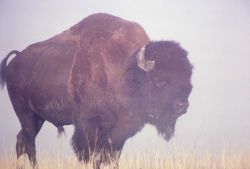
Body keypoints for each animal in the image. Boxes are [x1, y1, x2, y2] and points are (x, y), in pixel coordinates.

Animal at [0, 13, 192, 169]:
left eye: (188, 80)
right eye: (160, 80)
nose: (182, 105)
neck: (127, 71)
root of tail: (15, 61)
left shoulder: (117, 133)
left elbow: (112, 156)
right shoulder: (89, 126)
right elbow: (92, 155)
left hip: (38, 117)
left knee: (21, 141)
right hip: (25, 113)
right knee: (29, 142)